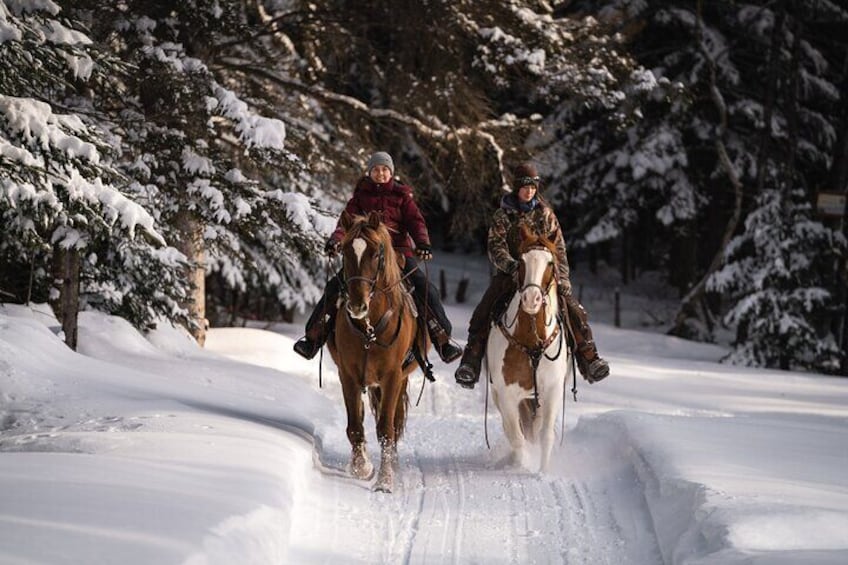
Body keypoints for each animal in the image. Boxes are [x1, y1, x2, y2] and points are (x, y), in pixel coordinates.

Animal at [328, 209, 428, 492]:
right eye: (345, 251)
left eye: (375, 253)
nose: (357, 305)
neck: (369, 330)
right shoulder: (348, 375)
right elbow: (355, 425)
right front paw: (361, 467)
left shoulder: (392, 377)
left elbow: (386, 430)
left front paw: (385, 480)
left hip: (399, 379)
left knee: (393, 424)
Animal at [486, 223, 572, 470]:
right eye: (521, 261)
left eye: (550, 262)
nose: (531, 299)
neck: (532, 340)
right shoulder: (506, 394)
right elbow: (516, 436)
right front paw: (519, 464)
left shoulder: (552, 390)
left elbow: (545, 435)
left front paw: (543, 471)